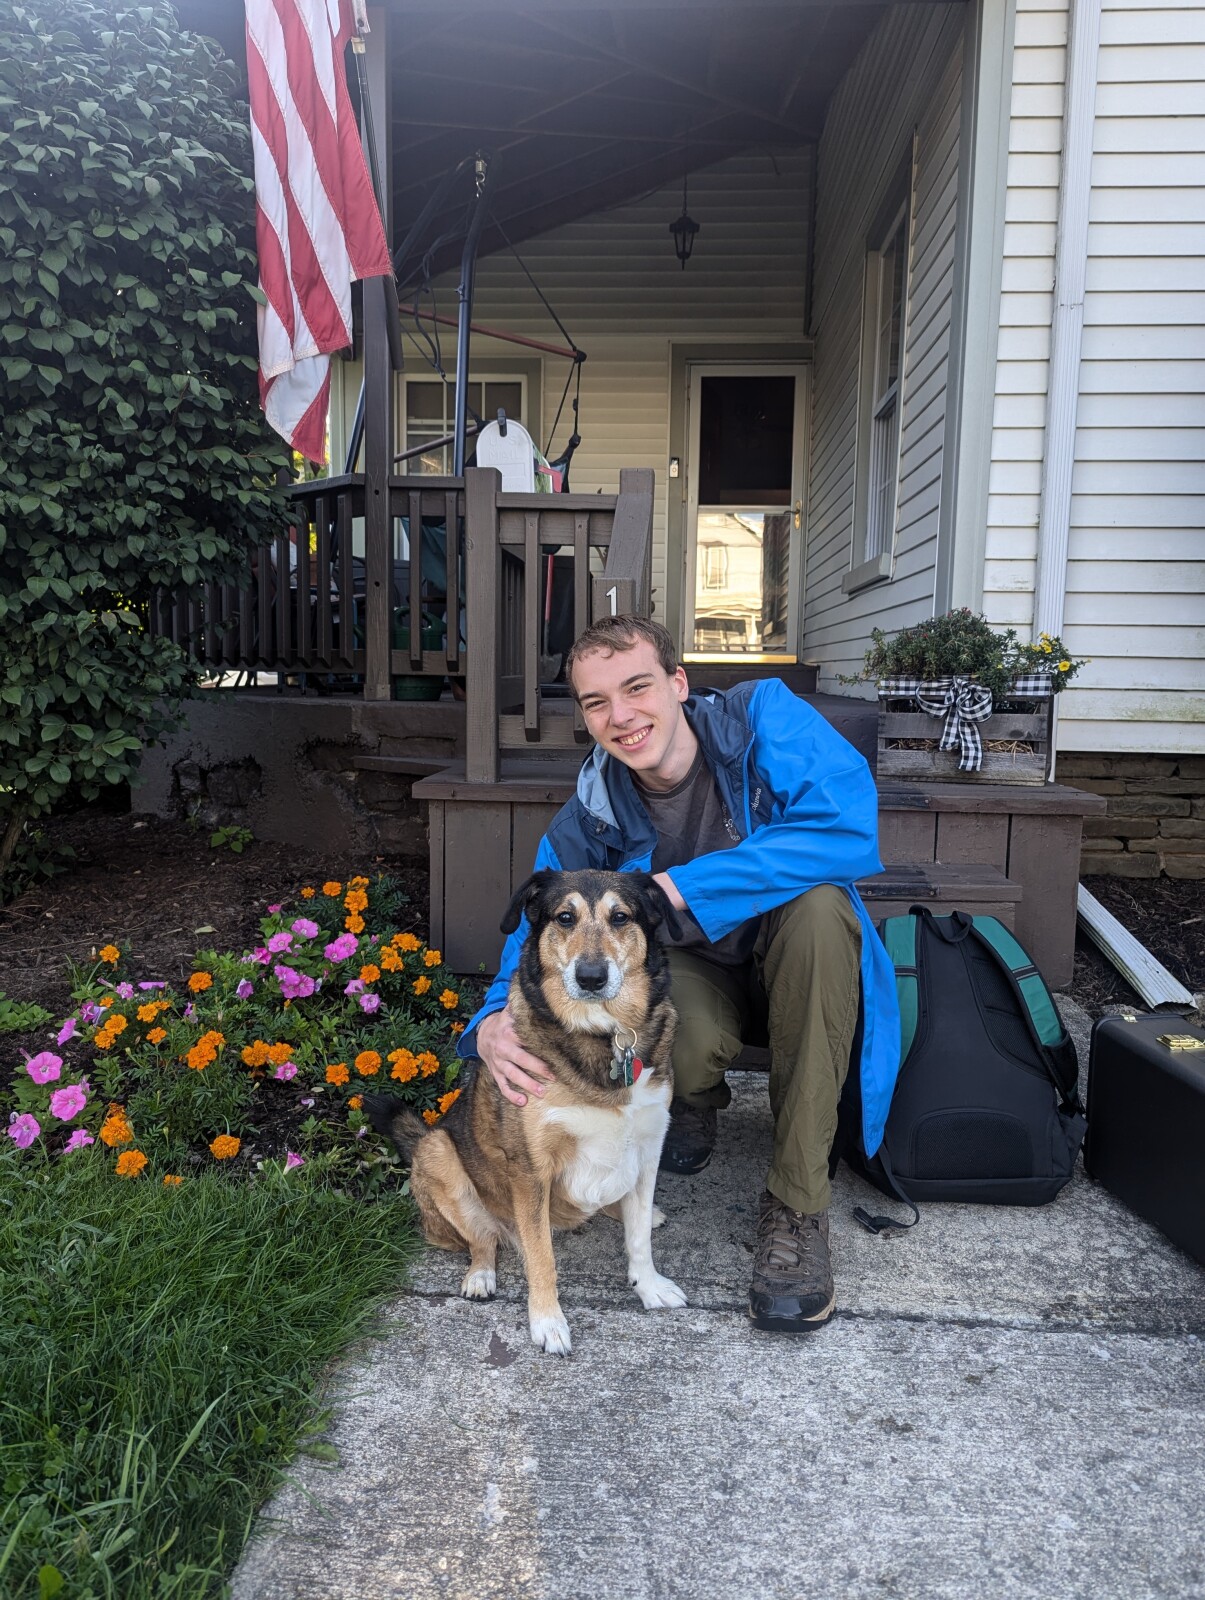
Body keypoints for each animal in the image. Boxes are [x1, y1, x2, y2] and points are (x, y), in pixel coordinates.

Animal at [368, 869, 686, 1354]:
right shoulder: (532, 1170)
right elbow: (542, 1258)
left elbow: (639, 1240)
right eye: (565, 917)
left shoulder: (649, 1147)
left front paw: (649, 1285)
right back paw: (481, 1274)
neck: (602, 1034)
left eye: (620, 917)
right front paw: (548, 1322)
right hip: (440, 1153)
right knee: (482, 1238)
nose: (591, 977)